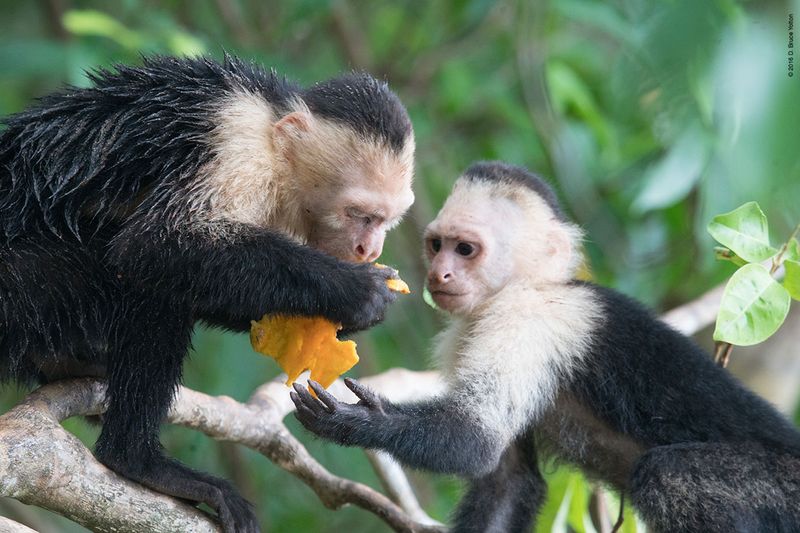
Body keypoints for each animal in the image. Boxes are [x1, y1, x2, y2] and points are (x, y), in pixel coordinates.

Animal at [0, 55, 412, 532]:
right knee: (146, 288)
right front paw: (354, 291)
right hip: (26, 283)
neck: (274, 137)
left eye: (385, 221)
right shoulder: (237, 142)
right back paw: (136, 460)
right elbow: (153, 247)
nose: (370, 250)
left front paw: (343, 316)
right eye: (359, 214)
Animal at [292, 162, 800, 532]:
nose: (439, 275)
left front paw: (358, 421)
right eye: (437, 245)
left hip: (784, 490)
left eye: (465, 249)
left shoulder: (529, 320)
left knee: (667, 475)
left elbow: (473, 439)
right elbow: (505, 478)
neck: (527, 286)